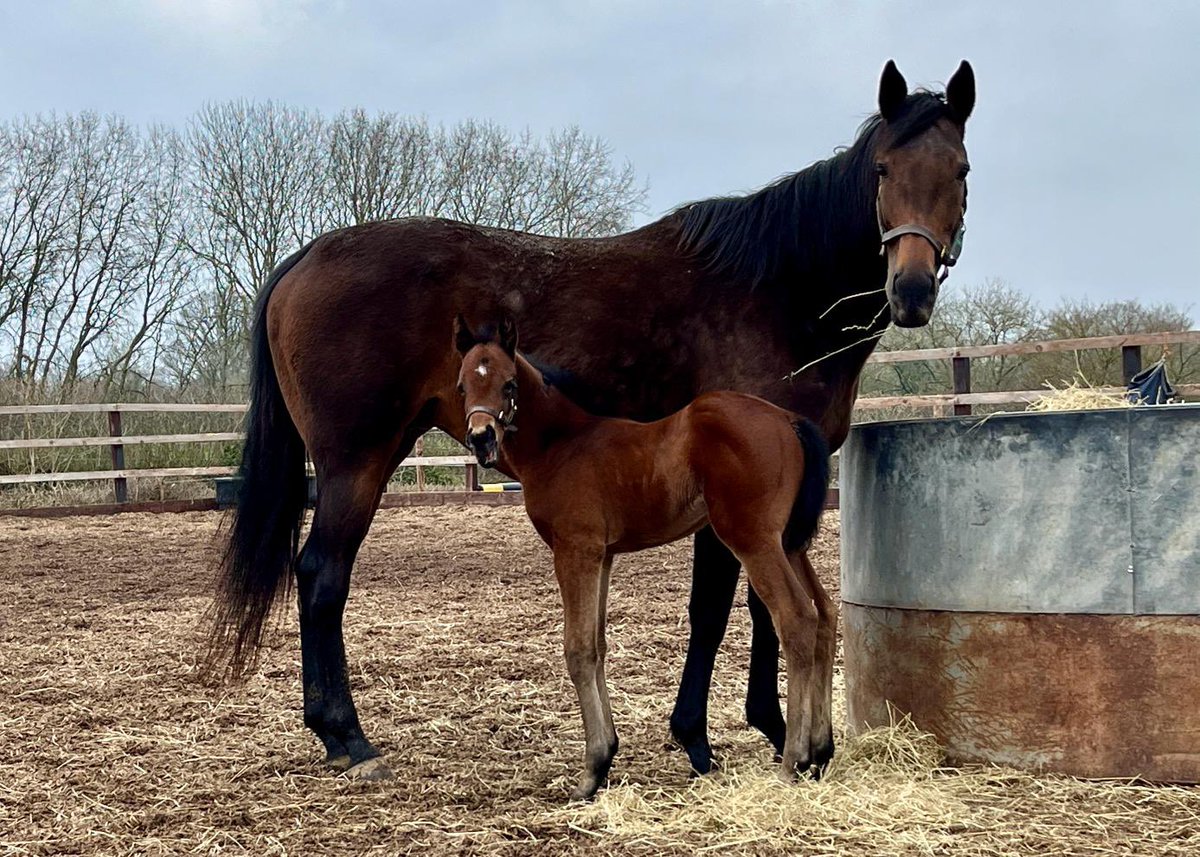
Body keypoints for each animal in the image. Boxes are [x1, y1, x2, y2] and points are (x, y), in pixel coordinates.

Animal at [453, 314, 830, 801]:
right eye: (463, 385)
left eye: (509, 384)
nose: (481, 439)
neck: (563, 444)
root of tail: (788, 419)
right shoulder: (603, 556)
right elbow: (597, 645)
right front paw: (607, 755)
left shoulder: (576, 550)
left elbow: (577, 648)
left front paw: (591, 772)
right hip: (790, 543)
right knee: (826, 615)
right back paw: (820, 751)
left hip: (754, 541)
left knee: (797, 617)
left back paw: (792, 762)